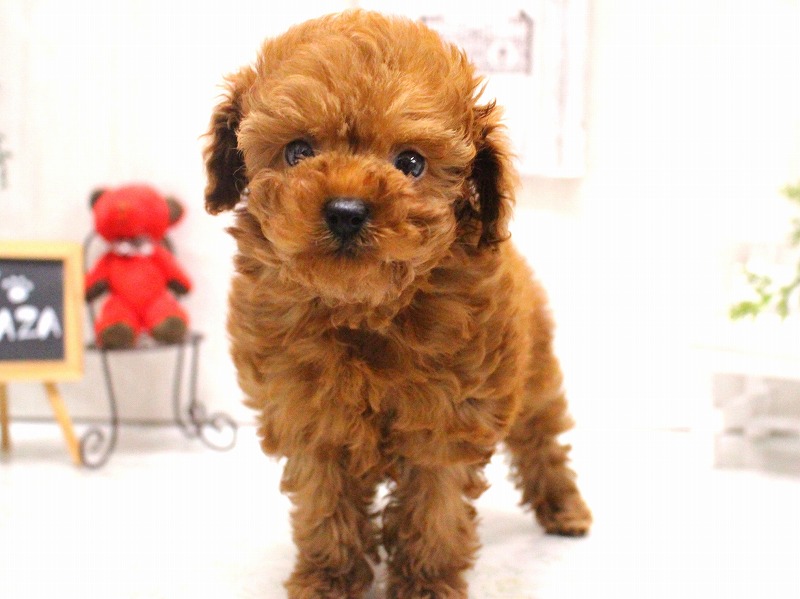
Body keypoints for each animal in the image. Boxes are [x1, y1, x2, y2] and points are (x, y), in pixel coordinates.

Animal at [204, 11, 591, 598]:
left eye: (410, 163)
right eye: (297, 152)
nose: (346, 210)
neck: (364, 309)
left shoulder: (447, 417)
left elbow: (434, 508)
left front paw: (425, 582)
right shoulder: (310, 417)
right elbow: (324, 506)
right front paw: (328, 578)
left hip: (535, 377)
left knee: (542, 440)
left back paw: (565, 509)